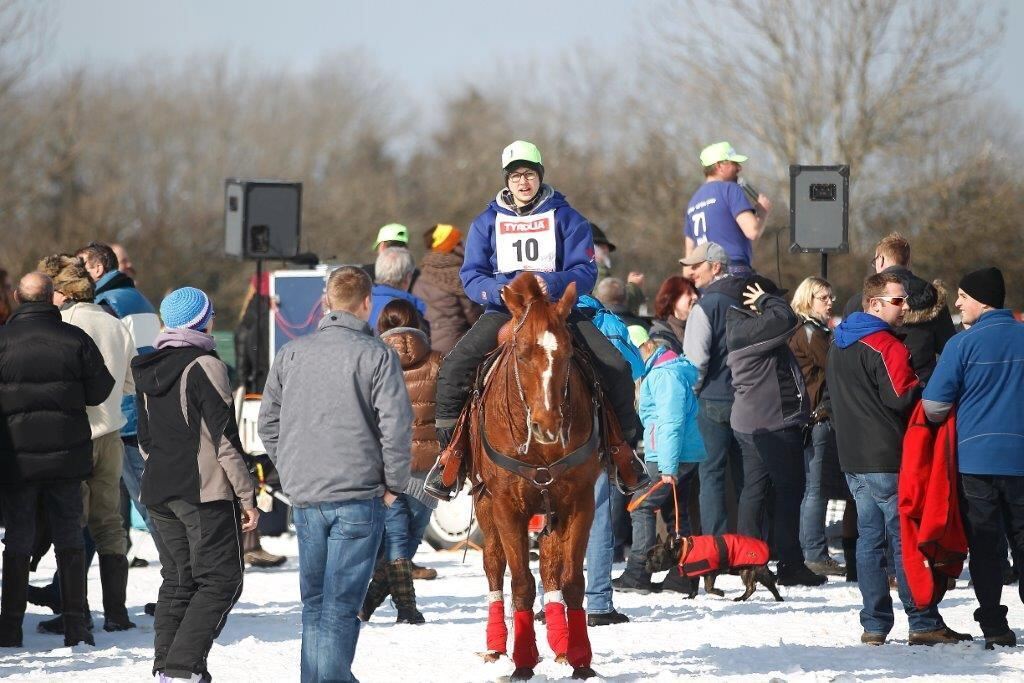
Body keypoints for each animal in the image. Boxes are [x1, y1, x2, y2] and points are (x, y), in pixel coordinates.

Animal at [468, 270, 602, 679]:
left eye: (568, 353)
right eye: (523, 353)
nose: (547, 425)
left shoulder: (579, 502)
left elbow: (571, 580)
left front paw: (580, 658)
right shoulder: (507, 506)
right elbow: (522, 585)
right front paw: (523, 661)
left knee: (550, 566)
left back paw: (560, 644)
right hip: (485, 505)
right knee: (494, 565)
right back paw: (497, 645)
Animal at [647, 532, 782, 602]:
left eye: (653, 559)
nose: (646, 565)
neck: (683, 550)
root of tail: (766, 546)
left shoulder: (710, 573)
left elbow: (708, 588)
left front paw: (720, 593)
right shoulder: (694, 575)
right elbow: (694, 588)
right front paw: (690, 598)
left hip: (754, 571)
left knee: (766, 586)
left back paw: (779, 599)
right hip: (748, 571)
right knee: (752, 587)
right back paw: (741, 598)